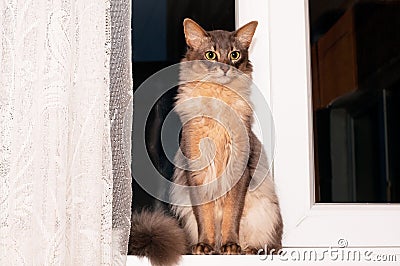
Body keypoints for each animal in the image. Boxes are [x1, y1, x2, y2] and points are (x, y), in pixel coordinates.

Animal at [130, 18, 282, 264]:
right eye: (211, 55)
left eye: (234, 54)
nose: (225, 67)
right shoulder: (196, 172)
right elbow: (205, 216)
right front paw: (205, 245)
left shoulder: (239, 170)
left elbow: (232, 215)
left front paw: (231, 245)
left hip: (264, 211)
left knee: (272, 245)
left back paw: (248, 249)